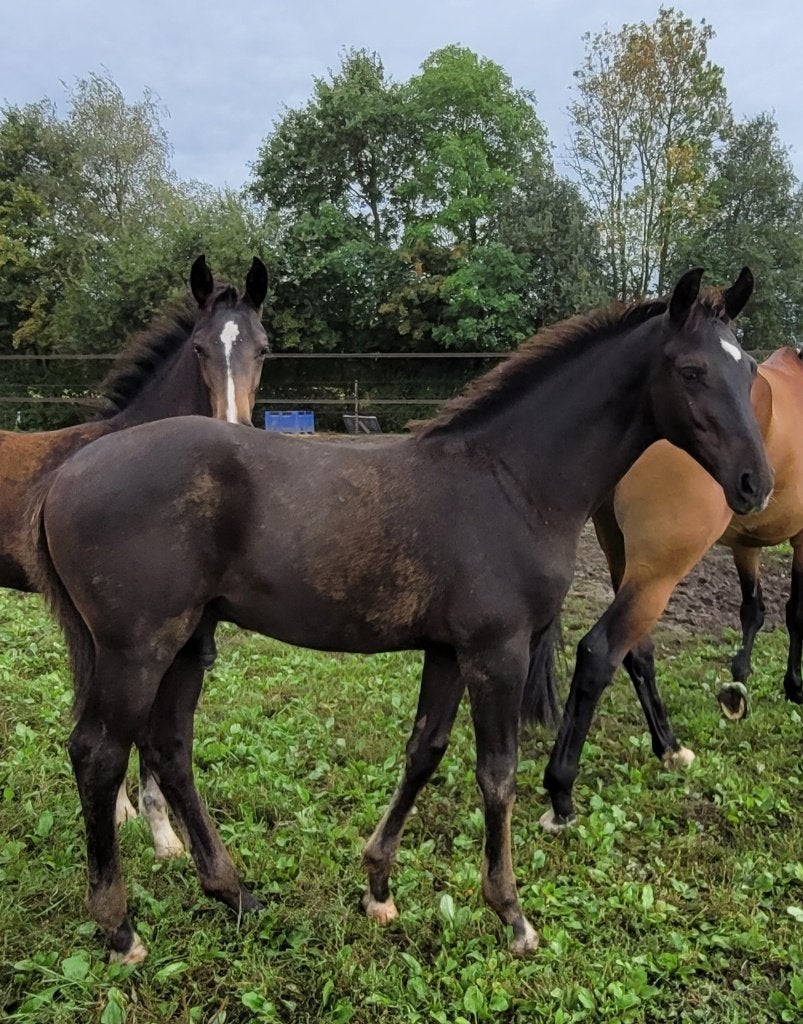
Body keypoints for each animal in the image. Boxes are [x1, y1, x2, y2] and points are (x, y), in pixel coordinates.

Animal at [31, 268, 771, 964]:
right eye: (692, 370)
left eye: (749, 370)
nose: (755, 484)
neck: (512, 481)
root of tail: (67, 473)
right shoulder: (496, 650)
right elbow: (497, 772)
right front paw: (512, 916)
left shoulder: (447, 650)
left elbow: (424, 751)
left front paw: (378, 887)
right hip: (137, 647)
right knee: (98, 755)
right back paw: (120, 928)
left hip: (187, 641)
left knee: (169, 748)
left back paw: (235, 893)